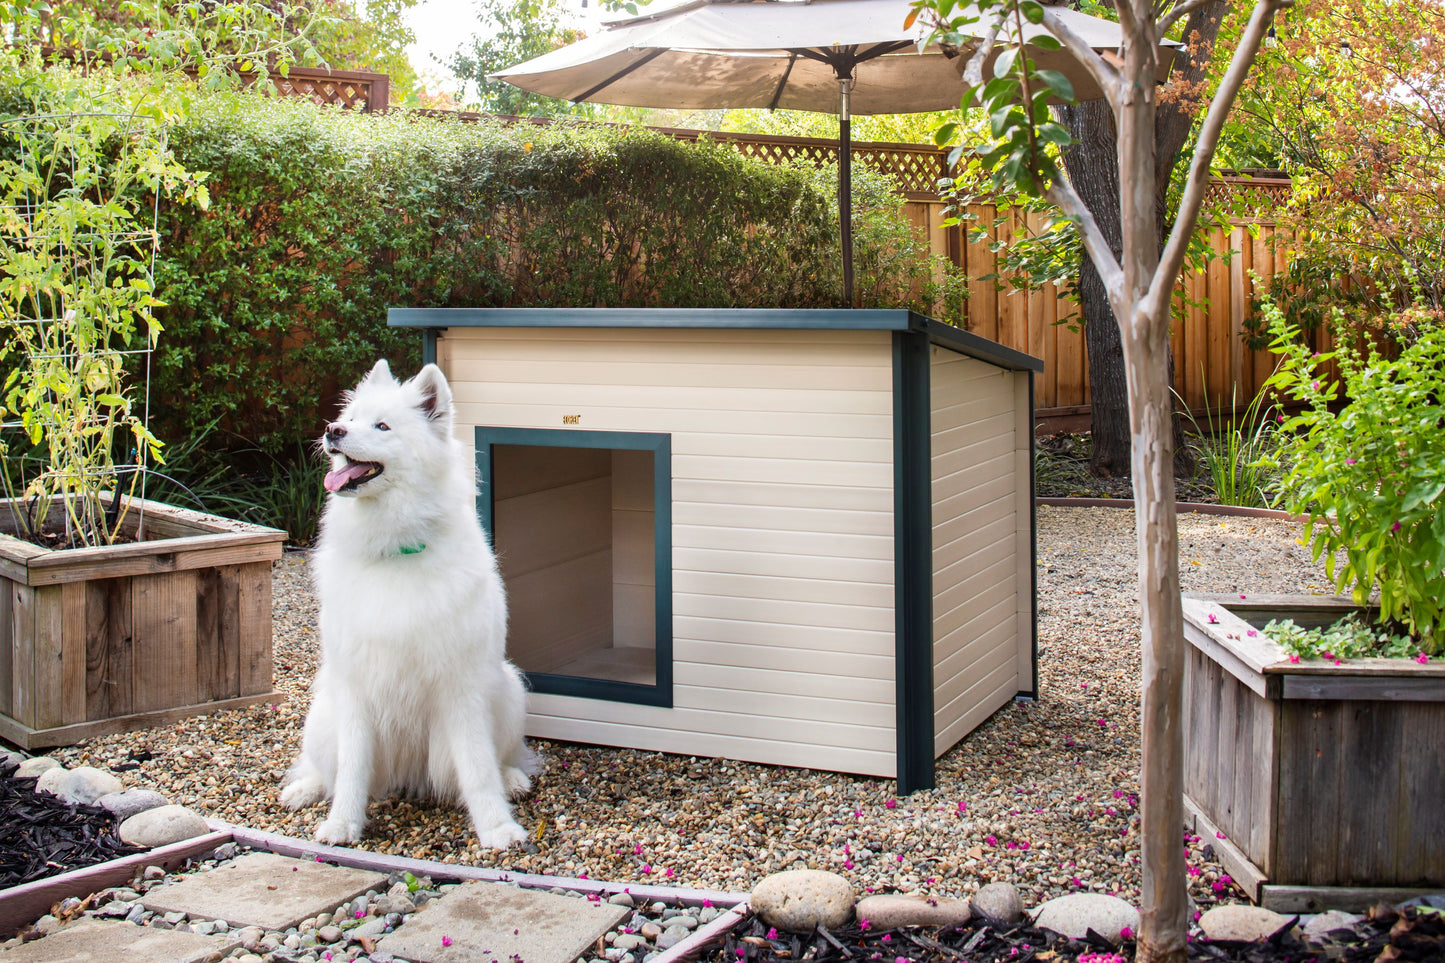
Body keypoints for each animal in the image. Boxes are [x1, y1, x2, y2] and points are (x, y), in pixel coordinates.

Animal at [278, 360, 534, 850]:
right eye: (351, 418)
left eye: (383, 426)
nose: (333, 431)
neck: (394, 549)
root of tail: (409, 776)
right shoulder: (356, 687)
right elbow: (352, 769)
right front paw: (342, 824)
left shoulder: (461, 686)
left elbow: (478, 767)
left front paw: (497, 827)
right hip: (322, 714)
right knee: (324, 768)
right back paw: (305, 789)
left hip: (508, 690)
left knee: (504, 756)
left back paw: (512, 778)